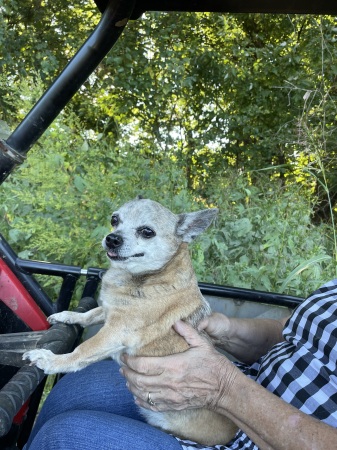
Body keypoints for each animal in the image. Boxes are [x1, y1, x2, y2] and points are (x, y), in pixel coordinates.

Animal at [23, 199, 236, 444]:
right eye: (114, 219)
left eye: (147, 232)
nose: (112, 238)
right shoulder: (109, 311)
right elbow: (90, 314)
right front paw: (68, 316)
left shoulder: (114, 332)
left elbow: (82, 351)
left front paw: (52, 360)